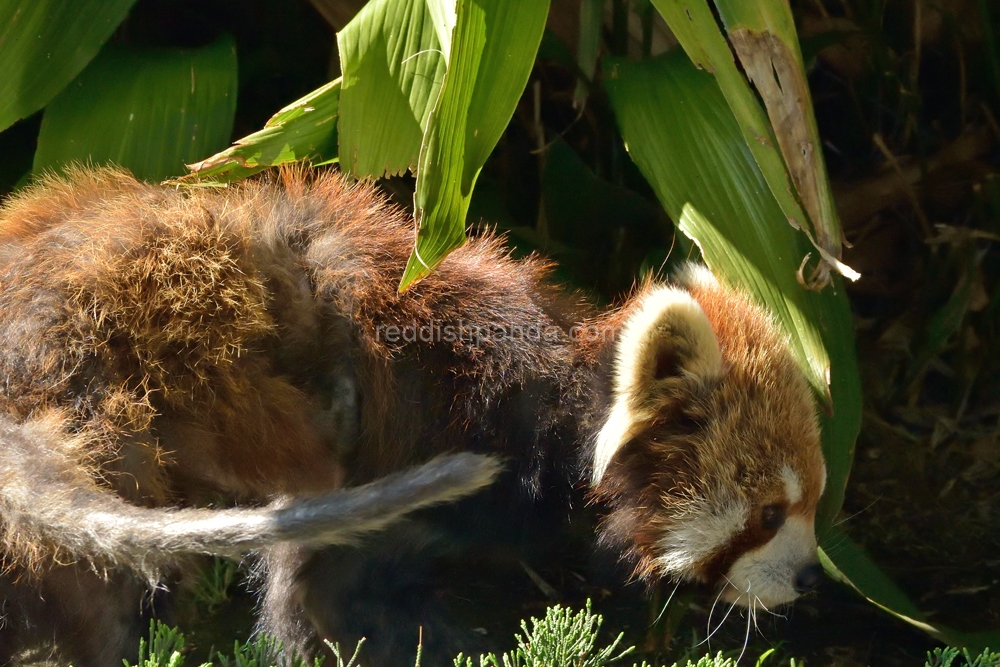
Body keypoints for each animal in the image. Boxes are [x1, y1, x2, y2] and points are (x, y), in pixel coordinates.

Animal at [0, 170, 828, 664]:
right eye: (767, 513)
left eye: (813, 502)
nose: (813, 577)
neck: (556, 409)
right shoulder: (419, 446)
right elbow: (325, 601)